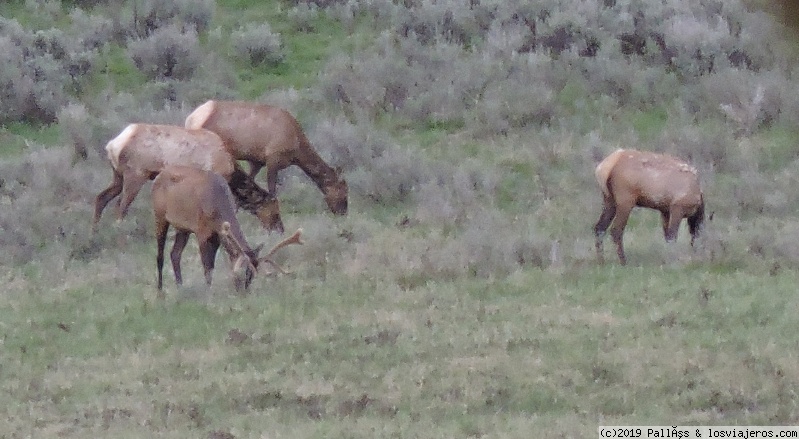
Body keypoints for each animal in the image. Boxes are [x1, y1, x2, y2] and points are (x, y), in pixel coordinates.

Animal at [92, 122, 286, 234]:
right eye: (275, 212)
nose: (280, 230)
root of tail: (112, 145)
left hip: (118, 176)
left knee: (101, 198)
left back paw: (95, 231)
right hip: (136, 175)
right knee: (120, 206)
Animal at [151, 166, 304, 296]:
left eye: (252, 276)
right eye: (240, 272)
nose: (244, 293)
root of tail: (159, 176)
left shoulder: (218, 235)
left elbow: (212, 265)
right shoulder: (202, 231)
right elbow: (207, 267)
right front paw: (209, 292)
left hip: (183, 228)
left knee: (175, 254)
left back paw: (180, 286)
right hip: (160, 215)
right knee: (160, 255)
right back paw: (160, 291)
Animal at [189, 100, 352, 217]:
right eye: (344, 190)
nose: (343, 212)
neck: (297, 149)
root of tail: (191, 118)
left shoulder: (257, 161)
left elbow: (247, 186)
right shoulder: (273, 157)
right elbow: (272, 191)